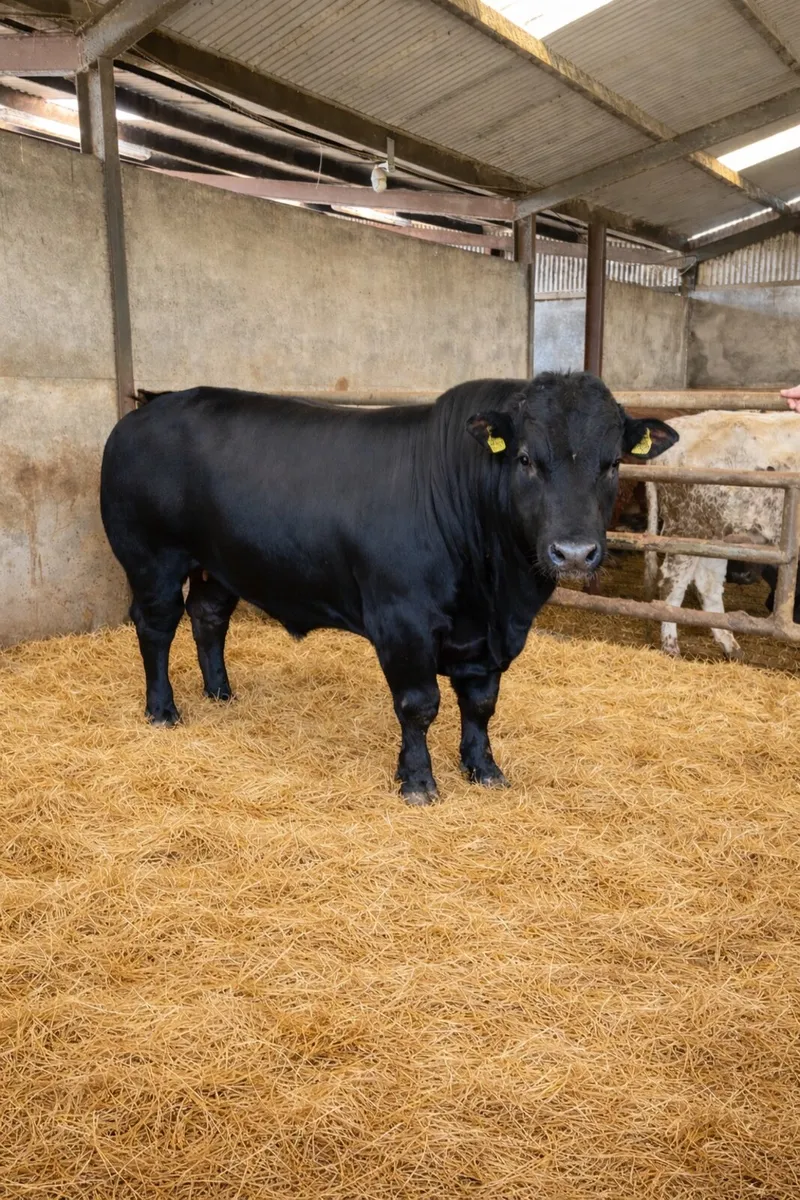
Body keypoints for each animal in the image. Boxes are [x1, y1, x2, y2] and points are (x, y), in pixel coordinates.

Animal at [100, 372, 677, 805]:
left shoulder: (486, 640)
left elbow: (481, 705)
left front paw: (484, 769)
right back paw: (163, 710)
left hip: (220, 565)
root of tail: (144, 412)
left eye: (613, 463)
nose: (574, 552)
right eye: (525, 459)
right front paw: (418, 782)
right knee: (156, 627)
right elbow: (418, 705)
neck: (497, 595)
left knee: (209, 617)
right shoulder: (403, 621)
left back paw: (221, 693)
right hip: (152, 560)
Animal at [642, 411, 800, 658]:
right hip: (687, 528)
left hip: (714, 534)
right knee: (672, 583)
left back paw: (729, 644)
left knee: (708, 585)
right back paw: (671, 645)